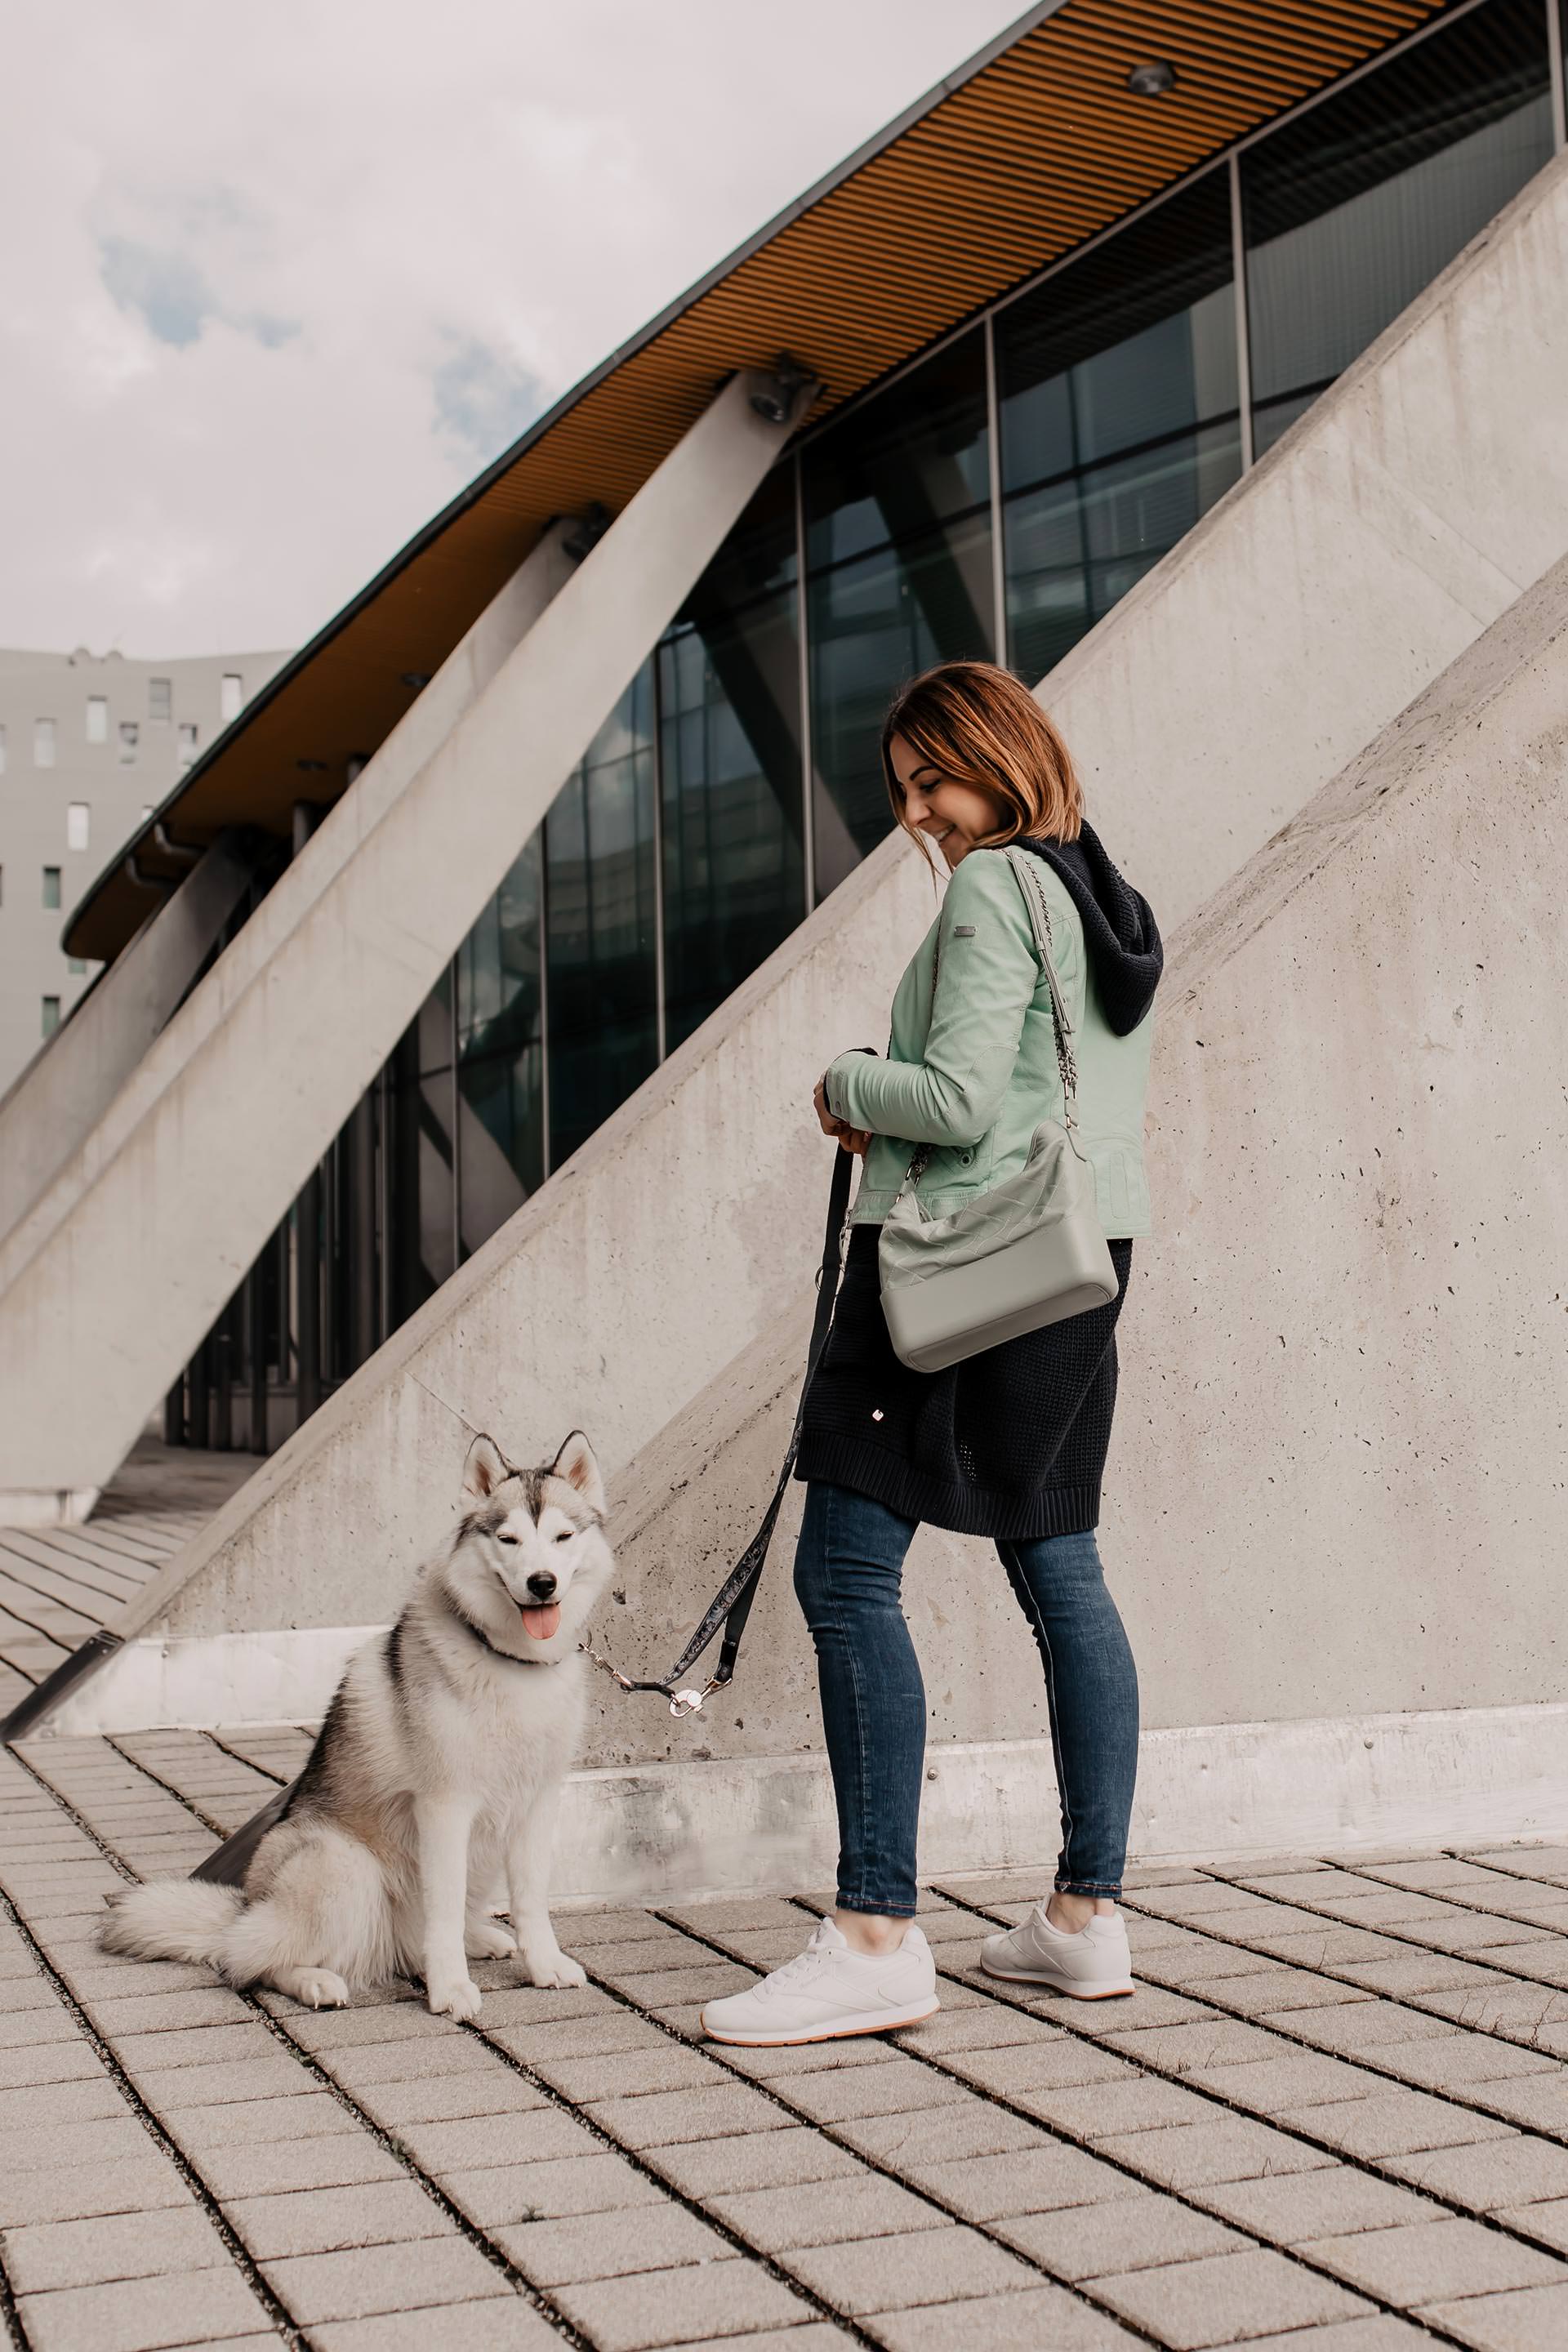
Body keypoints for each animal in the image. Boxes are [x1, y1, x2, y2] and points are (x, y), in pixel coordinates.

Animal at [100, 1420, 611, 2013]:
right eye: (508, 1540)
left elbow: (531, 1901)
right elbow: (442, 1910)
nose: (542, 1582)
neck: (511, 1663)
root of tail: (247, 1905)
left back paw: (477, 1938)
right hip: (342, 1862)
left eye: (563, 1537)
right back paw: (315, 1981)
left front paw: (544, 1965)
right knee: (244, 1959)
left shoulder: (536, 1803)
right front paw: (450, 1989)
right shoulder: (445, 1807)